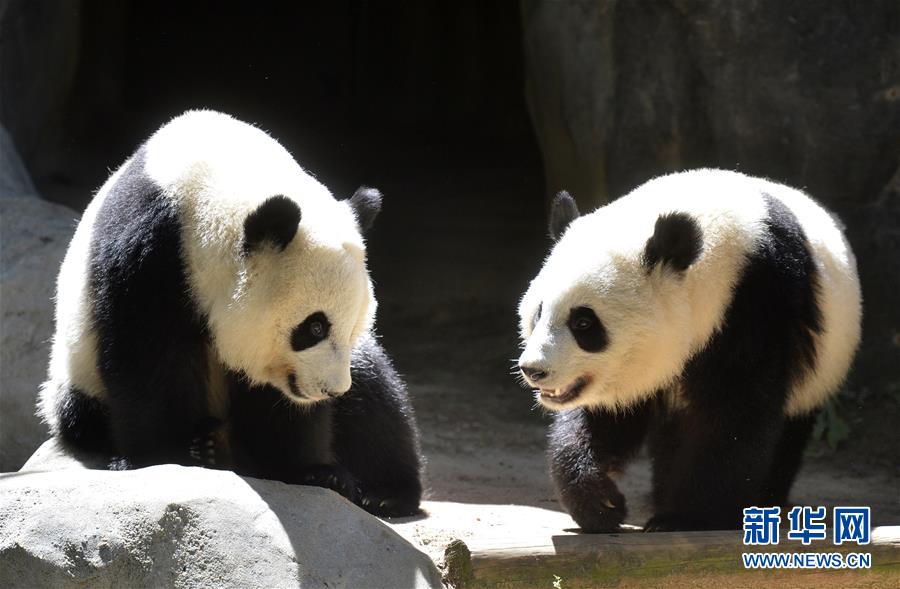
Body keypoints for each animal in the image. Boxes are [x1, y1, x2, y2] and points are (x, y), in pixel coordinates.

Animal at [37, 110, 422, 517]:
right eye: (314, 327)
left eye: (352, 328)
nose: (331, 390)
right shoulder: (147, 252)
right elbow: (147, 356)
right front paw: (166, 456)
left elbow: (281, 404)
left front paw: (313, 472)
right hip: (77, 381)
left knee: (374, 391)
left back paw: (384, 492)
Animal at [517, 169, 862, 532]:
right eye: (539, 312)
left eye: (583, 323)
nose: (534, 369)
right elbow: (604, 416)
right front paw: (600, 501)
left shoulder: (758, 306)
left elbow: (733, 414)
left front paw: (687, 516)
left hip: (824, 364)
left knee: (789, 431)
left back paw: (762, 498)